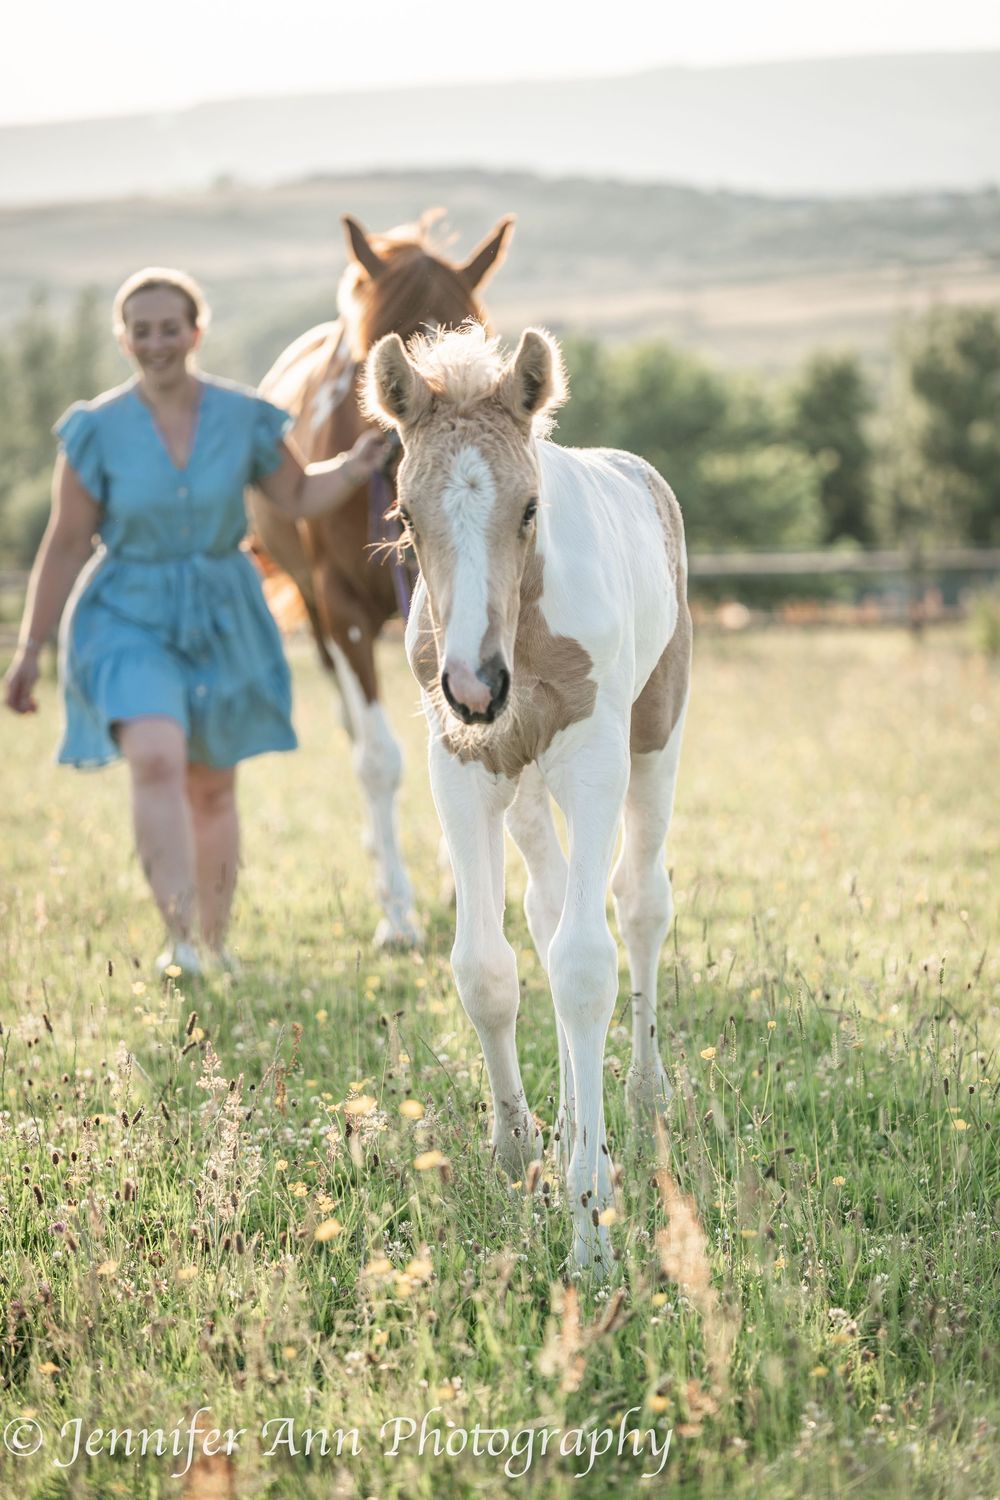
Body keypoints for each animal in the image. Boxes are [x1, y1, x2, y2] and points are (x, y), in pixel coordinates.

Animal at [249, 212, 515, 946]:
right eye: (373, 361)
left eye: (477, 343)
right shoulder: (343, 615)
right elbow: (377, 760)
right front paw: (397, 913)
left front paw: (466, 885)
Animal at [363, 322, 693, 1269]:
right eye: (406, 516)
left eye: (530, 508)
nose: (477, 686)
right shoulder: (463, 764)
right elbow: (486, 967)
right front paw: (519, 1153)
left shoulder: (593, 759)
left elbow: (585, 967)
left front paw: (591, 1226)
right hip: (523, 785)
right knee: (547, 913)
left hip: (654, 735)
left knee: (639, 902)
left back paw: (642, 1099)